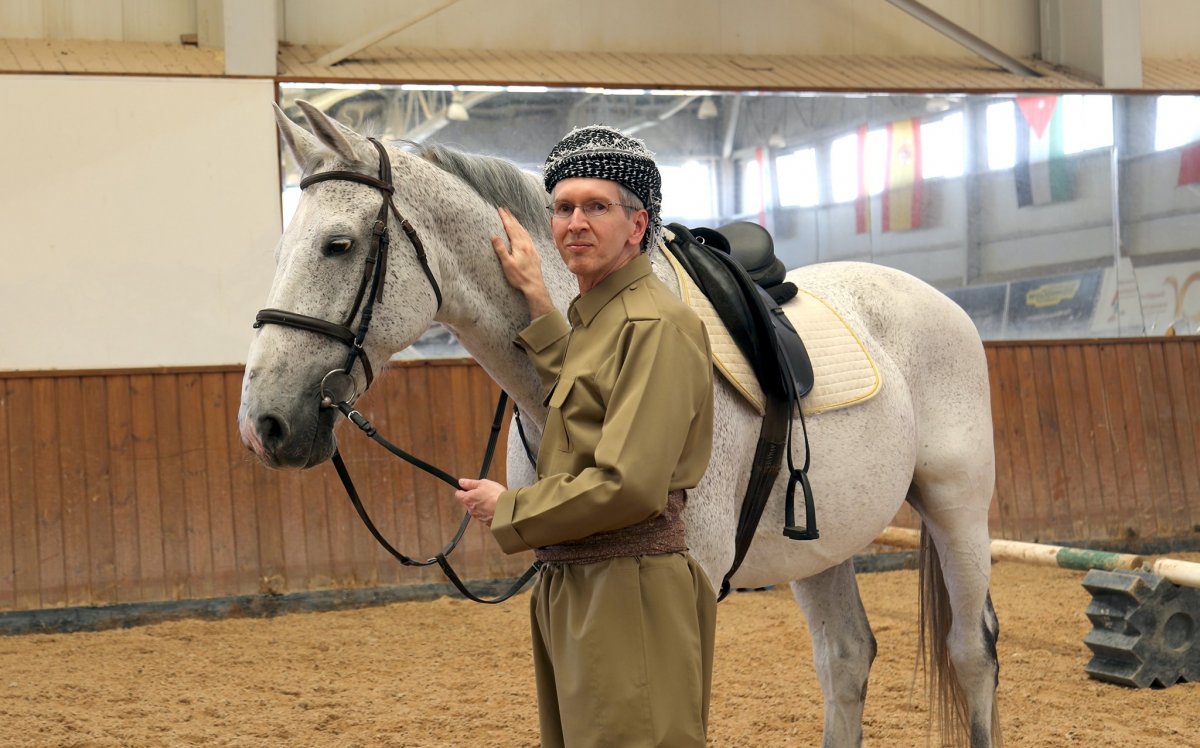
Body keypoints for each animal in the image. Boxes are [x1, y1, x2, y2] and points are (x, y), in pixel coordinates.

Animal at [241, 100, 1003, 748]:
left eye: (338, 245)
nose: (263, 424)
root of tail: (937, 300)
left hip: (958, 509)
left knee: (973, 653)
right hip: (824, 544)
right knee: (845, 659)